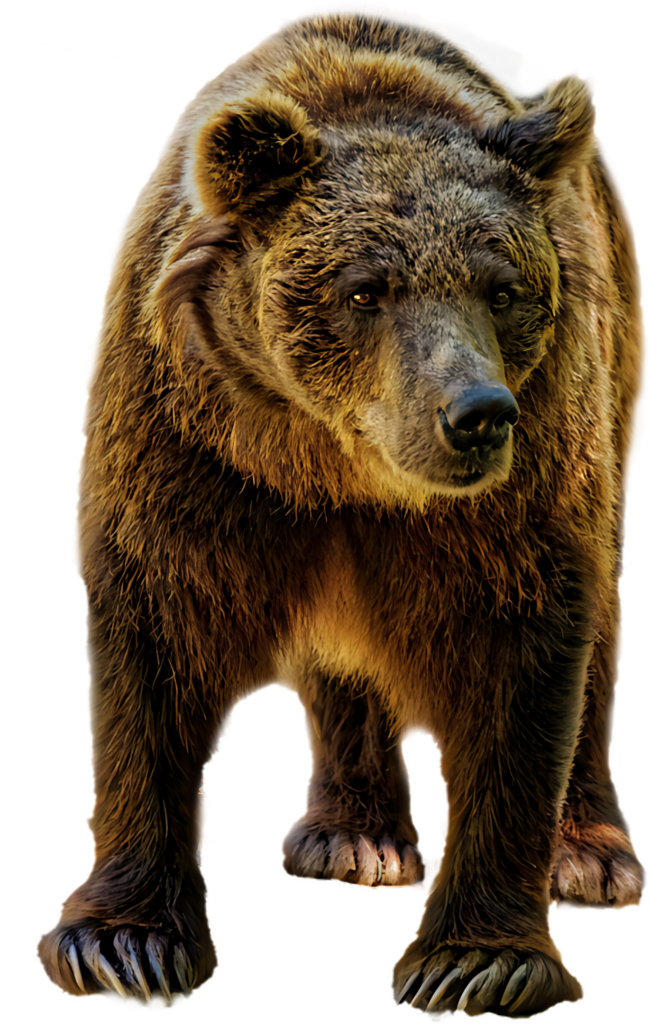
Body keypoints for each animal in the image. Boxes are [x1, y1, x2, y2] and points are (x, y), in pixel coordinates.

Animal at [35, 2, 647, 1018]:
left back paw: (593, 855)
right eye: (366, 288)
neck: (337, 464)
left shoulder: (527, 474)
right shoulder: (189, 438)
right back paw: (354, 836)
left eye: (503, 287)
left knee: (602, 617)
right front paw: (122, 941)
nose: (477, 413)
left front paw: (477, 958)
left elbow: (521, 643)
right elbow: (157, 632)